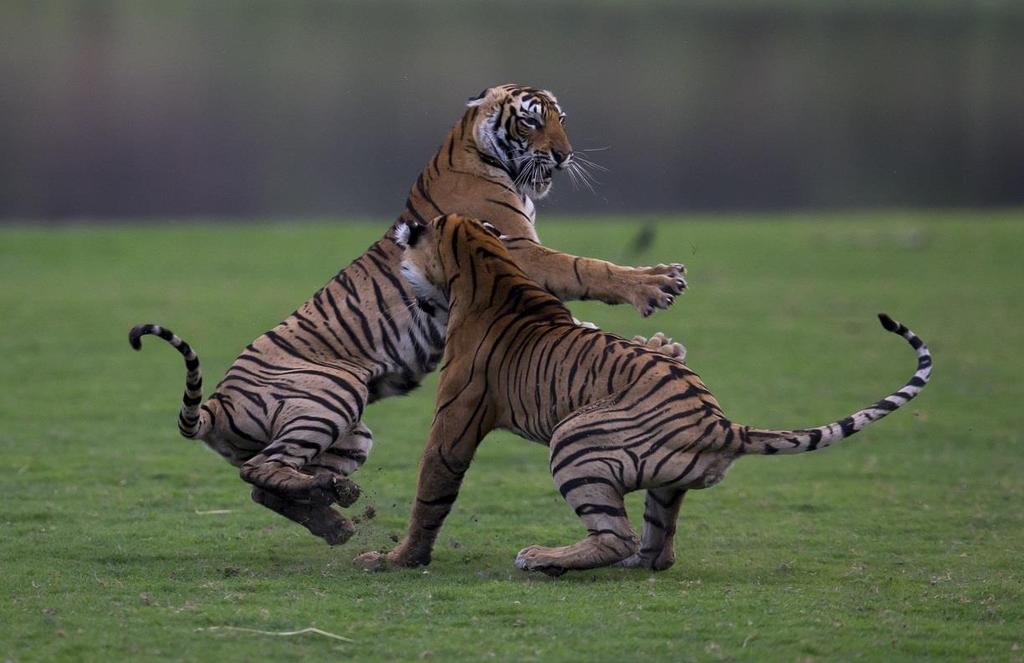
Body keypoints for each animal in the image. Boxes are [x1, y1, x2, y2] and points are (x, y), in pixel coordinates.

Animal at [130, 85, 688, 549]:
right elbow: (583, 269)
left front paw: (659, 346)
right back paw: (332, 497)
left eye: (561, 120)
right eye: (532, 121)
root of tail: (215, 405)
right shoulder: (518, 252)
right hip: (331, 391)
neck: (476, 151)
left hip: (353, 434)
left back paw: (334, 514)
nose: (563, 154)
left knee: (266, 486)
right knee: (263, 471)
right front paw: (657, 285)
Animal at [356, 216, 933, 573]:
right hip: (658, 480)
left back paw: (543, 559)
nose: (401, 238)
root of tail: (723, 424)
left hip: (574, 439)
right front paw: (661, 343)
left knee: (618, 536)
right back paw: (627, 560)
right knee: (656, 549)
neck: (487, 262)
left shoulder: (453, 425)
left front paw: (398, 560)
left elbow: (431, 493)